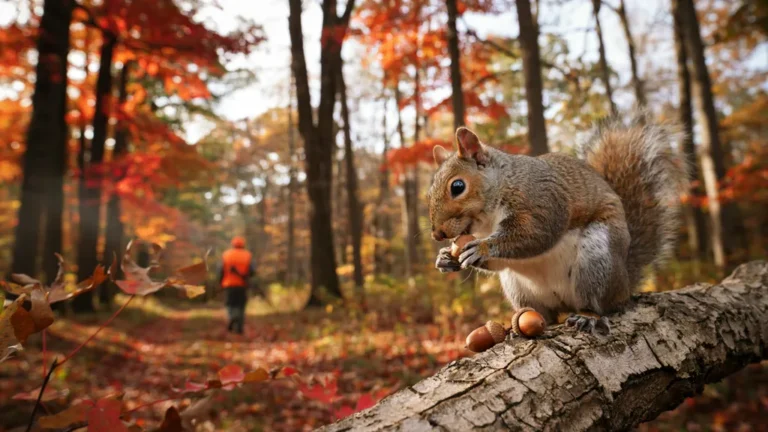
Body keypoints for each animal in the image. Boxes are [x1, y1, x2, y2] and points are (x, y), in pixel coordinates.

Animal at [428, 111, 689, 335]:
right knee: (544, 314)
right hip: (518, 288)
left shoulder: (542, 202)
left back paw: (588, 316)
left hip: (597, 260)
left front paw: (482, 248)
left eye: (457, 186)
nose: (437, 234)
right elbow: (499, 262)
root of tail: (625, 284)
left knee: (600, 304)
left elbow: (536, 235)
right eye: (429, 192)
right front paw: (445, 259)